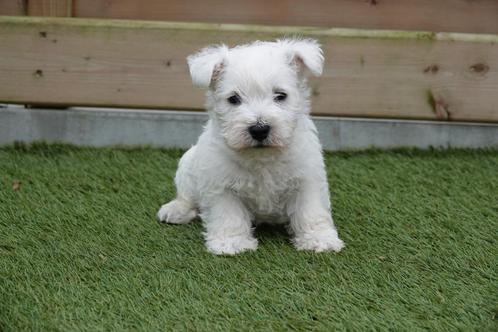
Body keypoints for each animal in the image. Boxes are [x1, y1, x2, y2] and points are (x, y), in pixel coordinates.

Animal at [158, 40, 344, 255]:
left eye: (281, 95)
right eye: (234, 99)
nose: (259, 129)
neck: (262, 157)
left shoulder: (307, 178)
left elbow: (311, 211)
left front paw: (319, 239)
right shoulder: (222, 185)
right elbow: (229, 215)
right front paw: (231, 243)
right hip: (188, 164)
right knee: (186, 196)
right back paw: (175, 210)